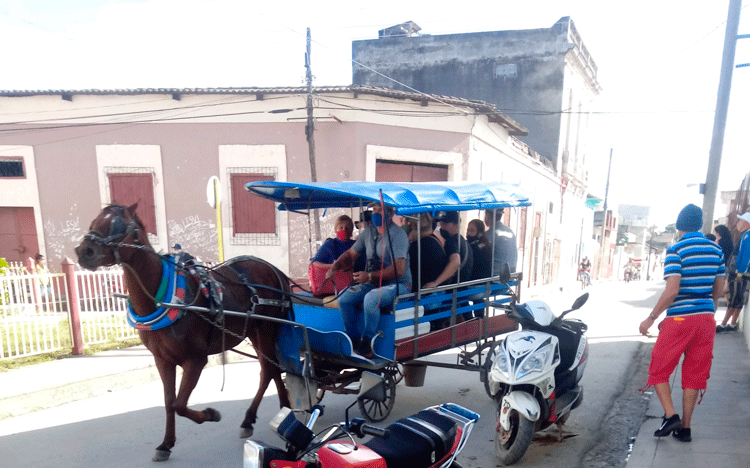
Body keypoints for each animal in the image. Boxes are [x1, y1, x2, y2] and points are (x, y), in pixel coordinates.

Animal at [72, 204, 290, 460]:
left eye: (118, 225)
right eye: (94, 221)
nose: (84, 251)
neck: (161, 300)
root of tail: (276, 271)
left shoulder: (195, 360)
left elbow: (179, 404)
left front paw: (210, 414)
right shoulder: (163, 360)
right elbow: (169, 402)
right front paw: (165, 444)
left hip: (268, 328)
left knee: (268, 370)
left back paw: (263, 415)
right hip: (254, 332)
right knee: (271, 368)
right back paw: (278, 410)